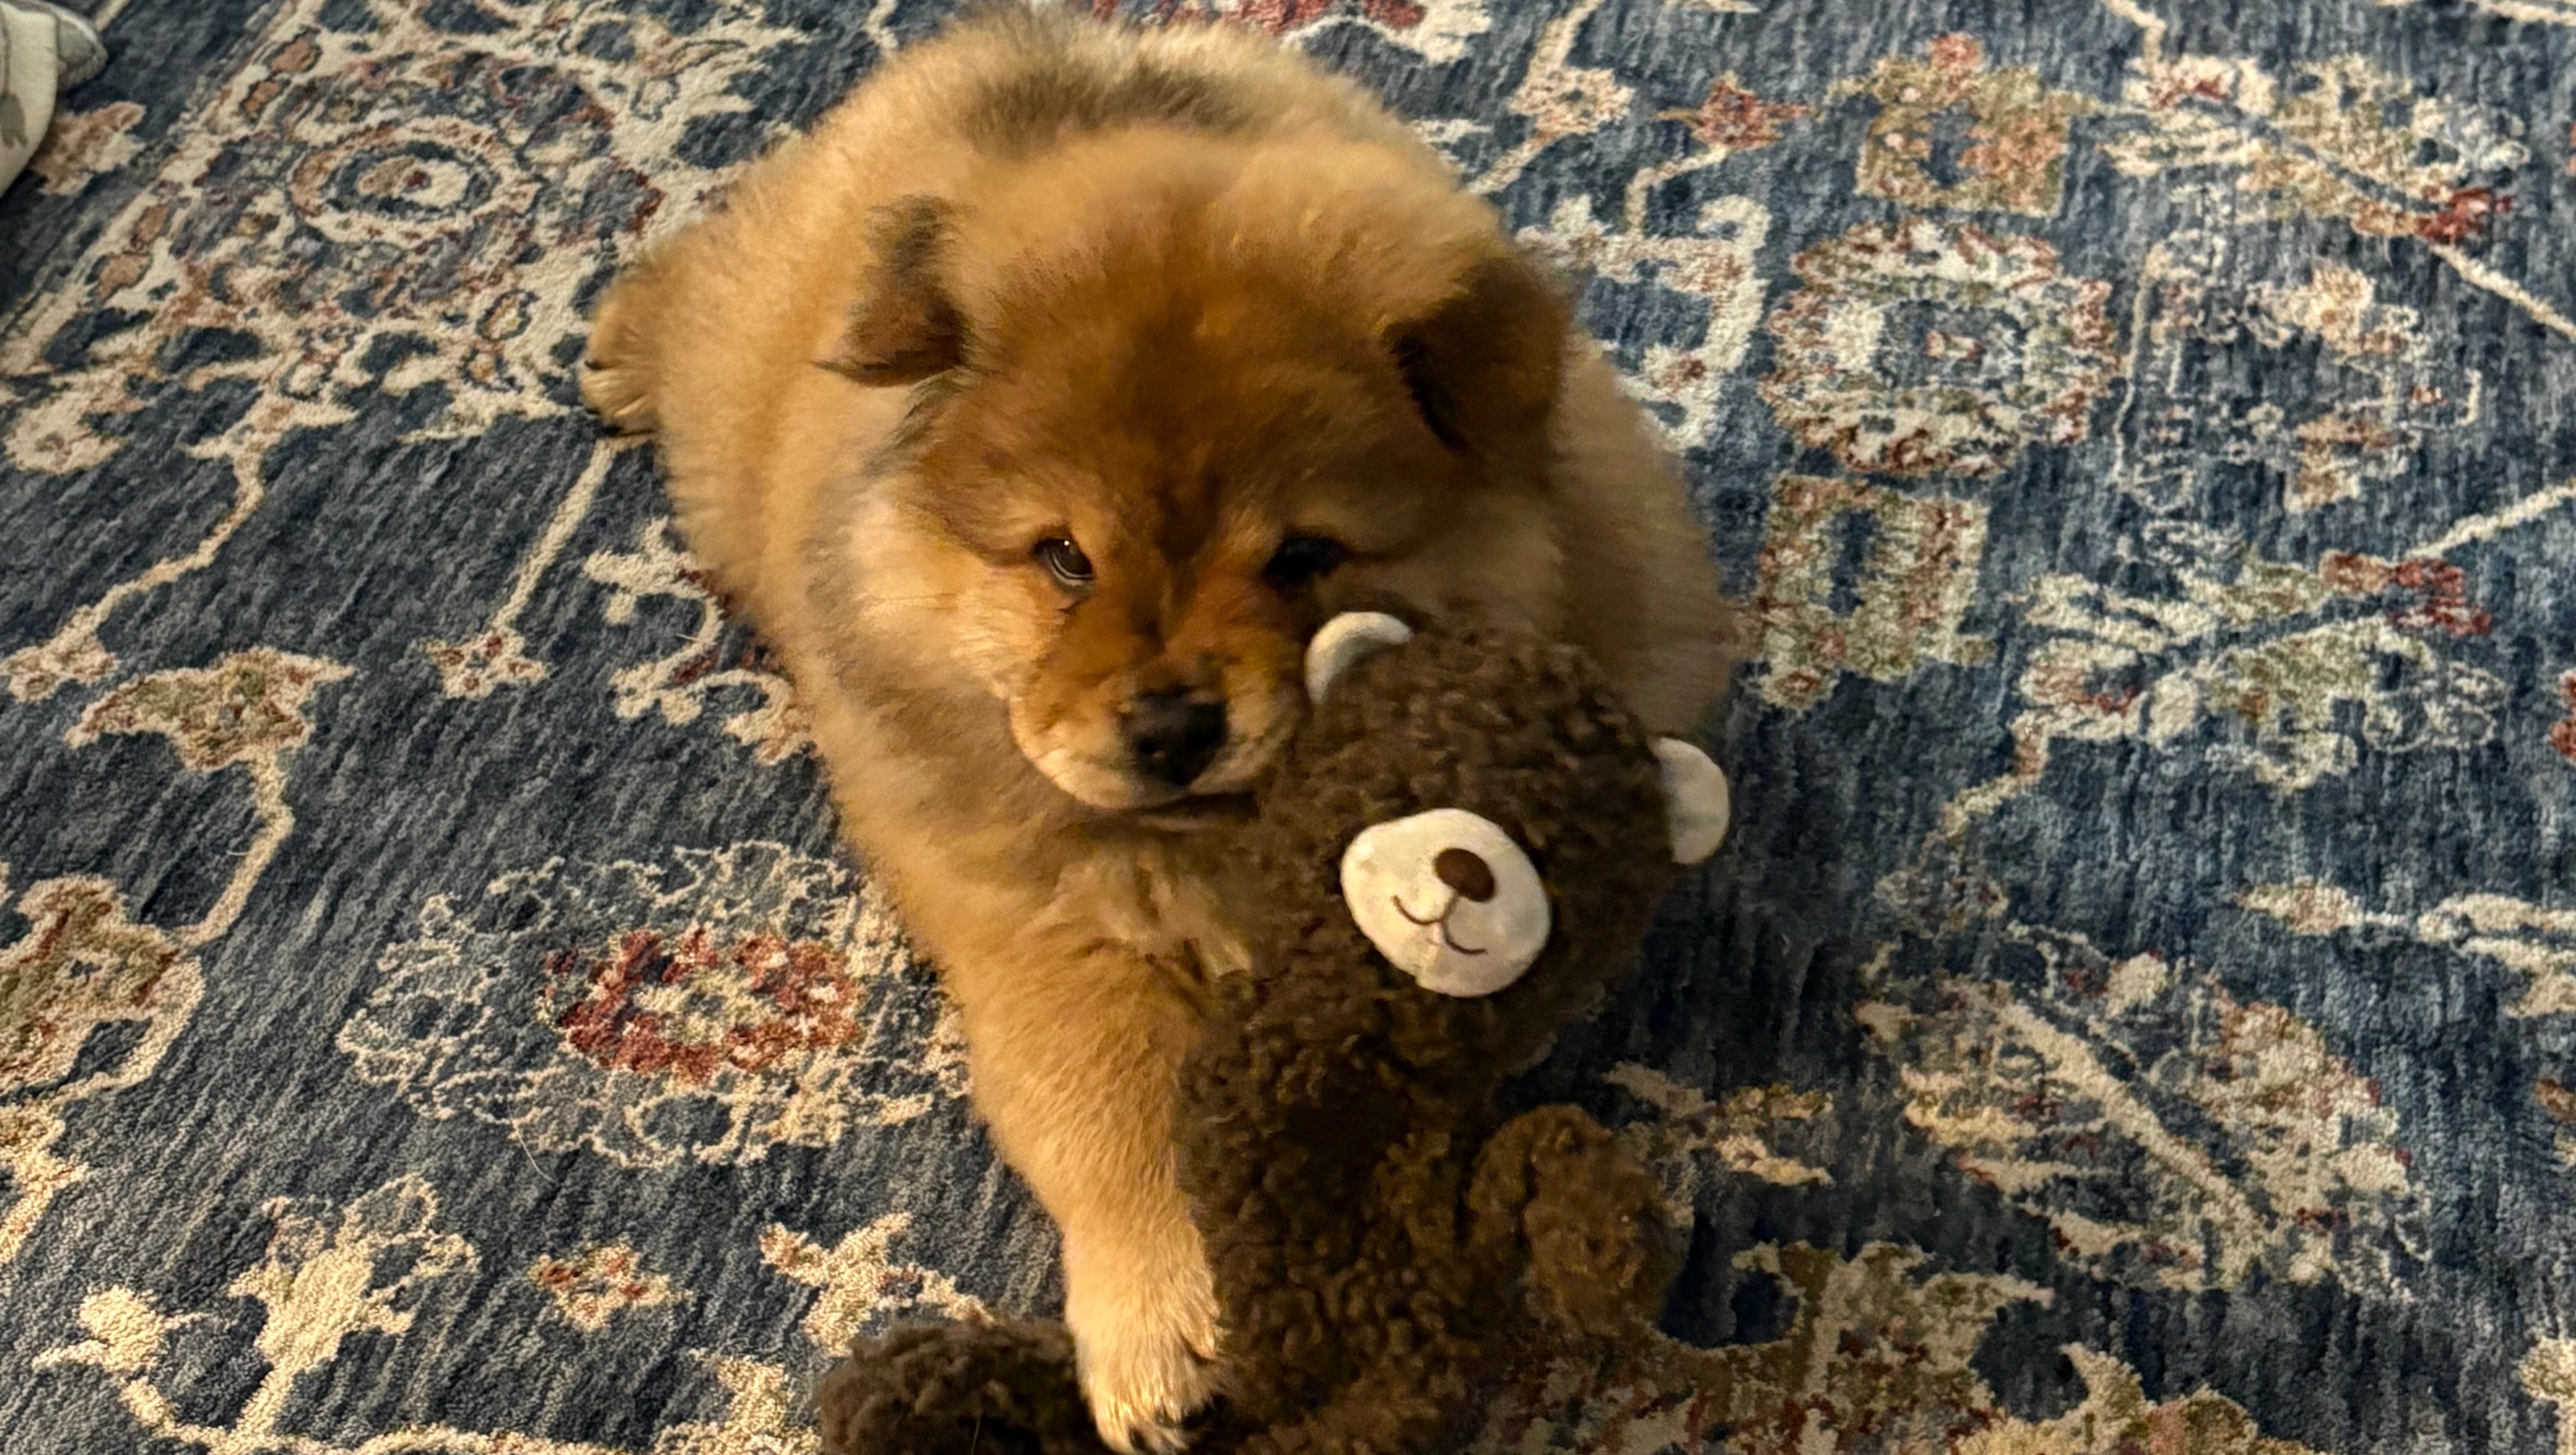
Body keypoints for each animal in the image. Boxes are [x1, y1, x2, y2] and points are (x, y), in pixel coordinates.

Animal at [580, 7, 1736, 1449]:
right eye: (1064, 560)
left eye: (1302, 557)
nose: (1175, 723)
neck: (1221, 854)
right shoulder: (1040, 936)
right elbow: (1112, 1113)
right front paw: (1165, 1332)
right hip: (734, 387)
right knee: (705, 281)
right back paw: (623, 341)